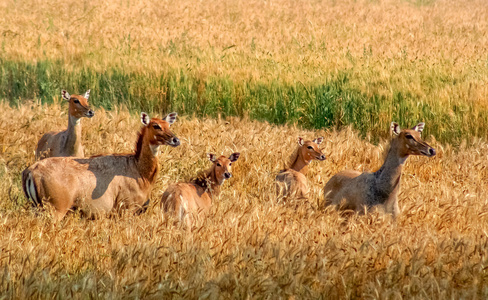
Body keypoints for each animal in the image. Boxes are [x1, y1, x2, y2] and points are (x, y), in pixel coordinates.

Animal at [21, 112, 180, 220]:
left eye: (168, 125)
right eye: (156, 126)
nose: (176, 140)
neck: (140, 171)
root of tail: (30, 171)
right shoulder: (126, 209)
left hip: (37, 208)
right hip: (55, 209)